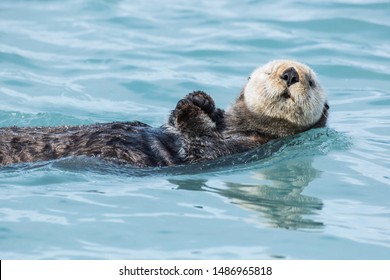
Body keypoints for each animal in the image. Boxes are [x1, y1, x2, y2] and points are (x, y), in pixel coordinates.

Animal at [0, 60, 328, 167]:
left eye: (311, 81)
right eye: (270, 71)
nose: (290, 74)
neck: (237, 126)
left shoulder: (246, 147)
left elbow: (200, 146)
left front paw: (191, 108)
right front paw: (198, 99)